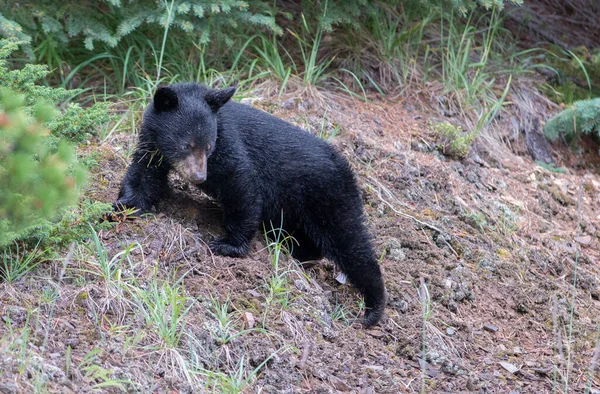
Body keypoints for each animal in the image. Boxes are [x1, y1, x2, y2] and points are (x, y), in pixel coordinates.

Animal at [115, 84, 386, 326]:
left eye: (209, 146)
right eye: (186, 145)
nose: (199, 177)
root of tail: (347, 168)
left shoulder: (229, 146)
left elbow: (241, 184)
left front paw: (228, 244)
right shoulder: (152, 143)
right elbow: (144, 172)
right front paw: (125, 206)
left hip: (328, 196)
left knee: (350, 241)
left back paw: (373, 308)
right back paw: (295, 249)